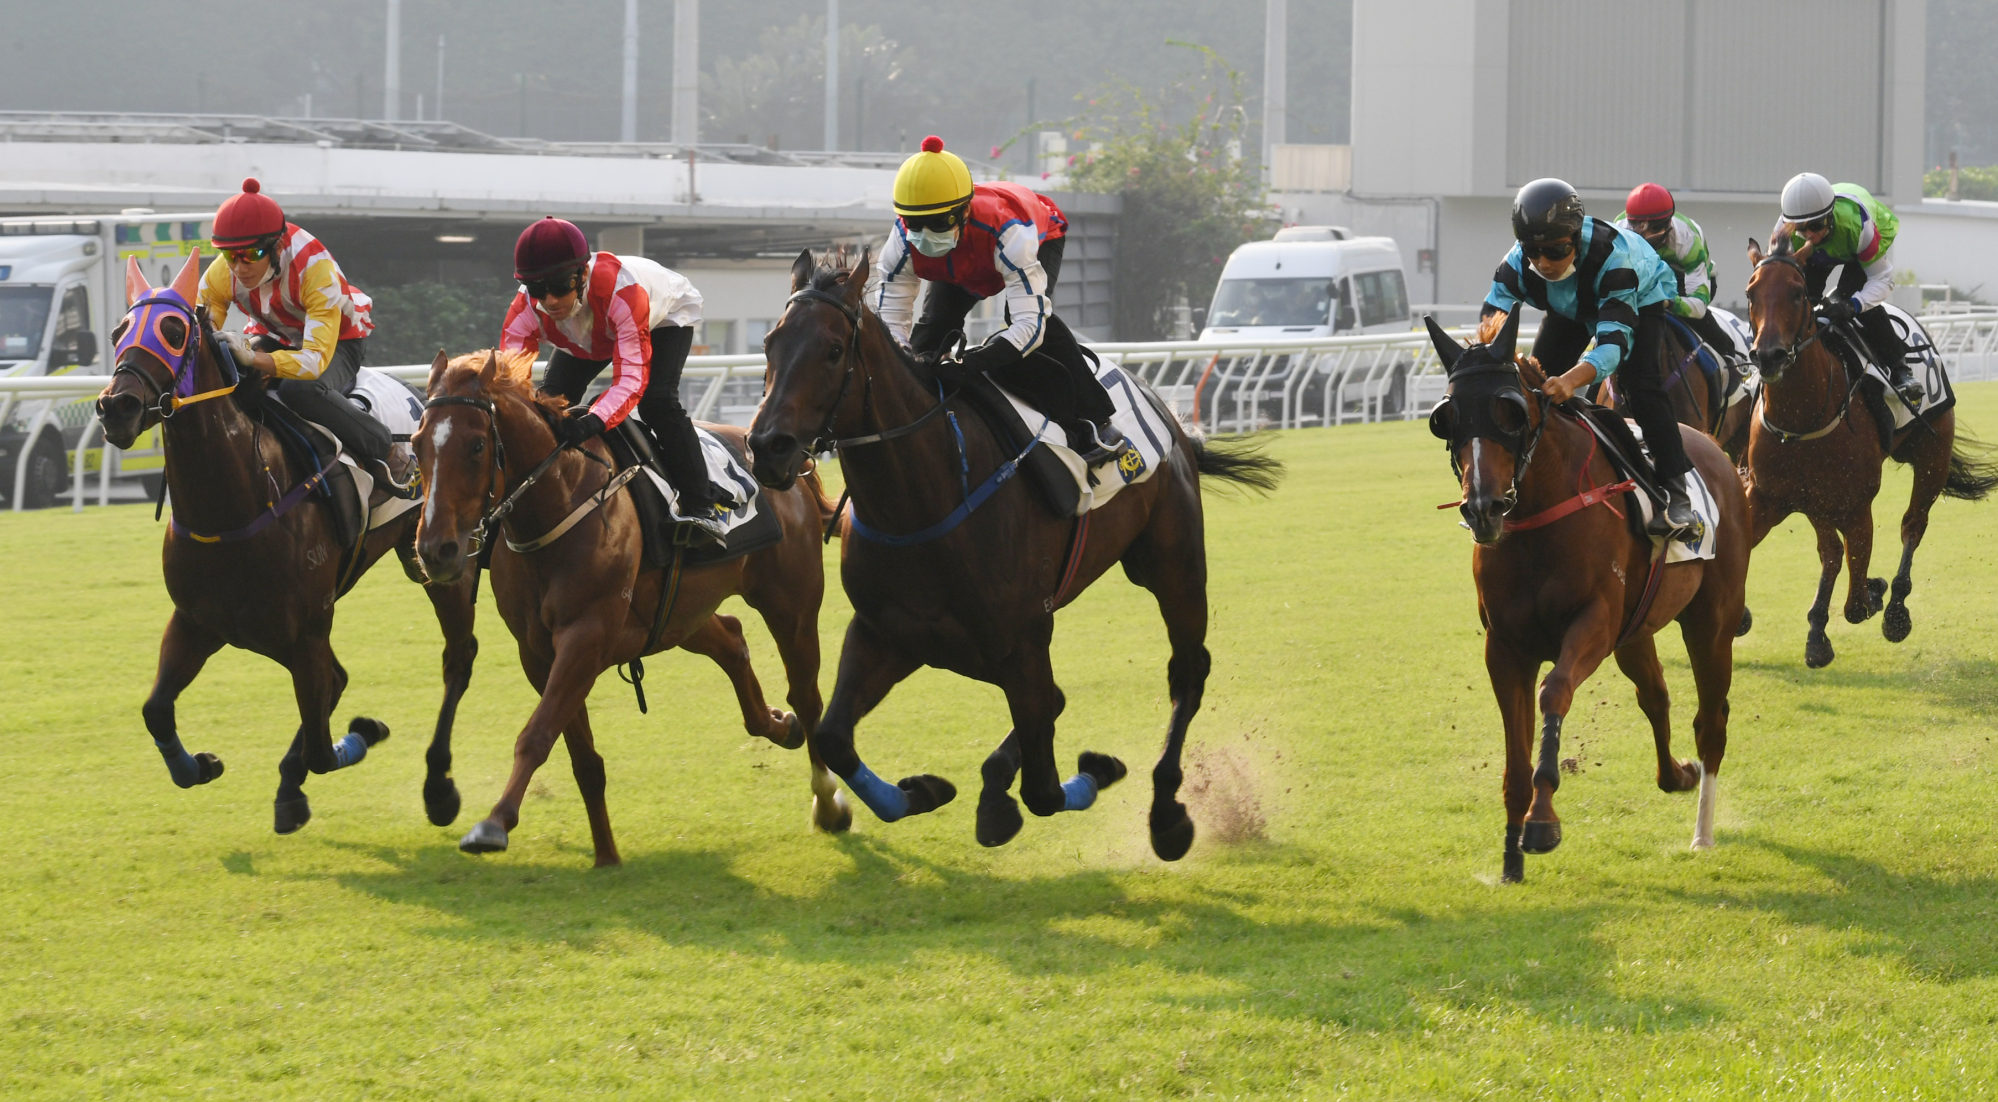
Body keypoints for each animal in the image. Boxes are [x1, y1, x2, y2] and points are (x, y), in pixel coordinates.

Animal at [95, 249, 481, 834]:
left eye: (174, 331)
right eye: (118, 331)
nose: (115, 406)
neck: (234, 503)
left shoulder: (303, 629)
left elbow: (324, 747)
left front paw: (363, 733)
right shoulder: (200, 619)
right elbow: (156, 710)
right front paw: (201, 765)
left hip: (440, 560)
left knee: (457, 658)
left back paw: (438, 789)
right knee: (341, 679)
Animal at [413, 349, 843, 866]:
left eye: (477, 446)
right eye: (416, 445)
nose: (436, 550)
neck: (559, 503)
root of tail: (788, 465)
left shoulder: (586, 637)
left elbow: (536, 735)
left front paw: (493, 824)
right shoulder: (538, 653)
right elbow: (581, 757)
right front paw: (606, 855)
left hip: (790, 604)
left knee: (807, 694)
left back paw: (828, 801)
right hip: (678, 614)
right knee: (732, 639)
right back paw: (779, 724)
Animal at [747, 249, 1278, 862]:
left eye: (834, 350)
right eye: (769, 343)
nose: (767, 447)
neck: (923, 504)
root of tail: (1165, 413)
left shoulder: (1020, 641)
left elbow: (1045, 788)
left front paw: (1099, 767)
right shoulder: (888, 632)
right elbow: (834, 737)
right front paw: (923, 791)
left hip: (1174, 563)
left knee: (1187, 670)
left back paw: (1166, 814)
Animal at [1438, 313, 1750, 882]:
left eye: (1509, 411)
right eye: (1446, 418)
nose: (1483, 508)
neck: (1538, 516)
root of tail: (1710, 448)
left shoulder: (1594, 625)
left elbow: (1554, 692)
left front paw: (1542, 821)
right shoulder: (1504, 647)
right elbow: (1516, 757)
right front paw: (1510, 857)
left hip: (1712, 621)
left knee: (1711, 720)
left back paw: (1703, 831)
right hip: (1637, 630)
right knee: (1656, 696)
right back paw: (1678, 774)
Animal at [1734, 236, 1998, 666]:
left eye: (1797, 292)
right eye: (1750, 293)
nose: (1769, 355)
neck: (1802, 417)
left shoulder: (1856, 507)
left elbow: (1856, 603)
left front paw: (1875, 592)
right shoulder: (1767, 497)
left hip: (1931, 454)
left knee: (1912, 525)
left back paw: (1894, 611)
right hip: (1815, 500)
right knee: (1830, 551)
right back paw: (1818, 631)